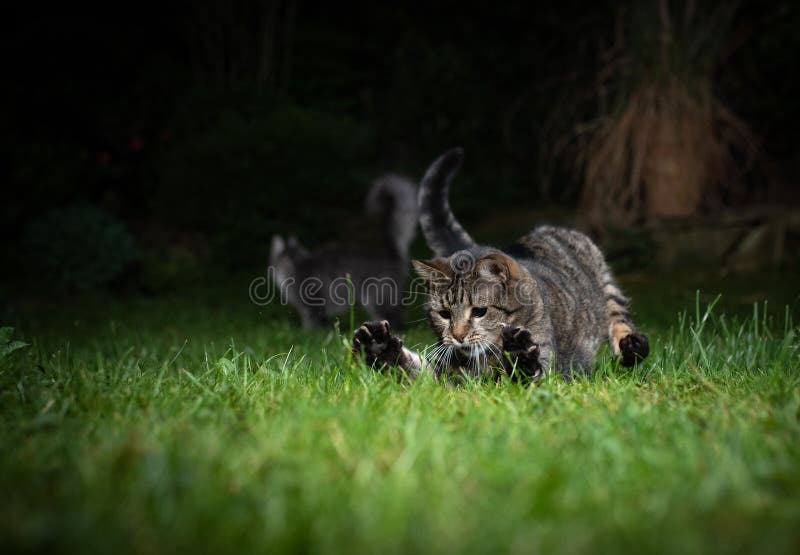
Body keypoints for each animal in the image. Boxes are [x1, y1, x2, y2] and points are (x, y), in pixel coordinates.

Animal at [270, 176, 418, 328]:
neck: (296, 263)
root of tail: (389, 254)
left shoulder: (313, 303)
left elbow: (314, 325)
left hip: (377, 295)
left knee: (396, 315)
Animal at [354, 148, 648, 380]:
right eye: (444, 314)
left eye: (479, 312)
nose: (458, 336)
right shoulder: (444, 373)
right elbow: (412, 368)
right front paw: (379, 346)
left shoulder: (548, 368)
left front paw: (519, 354)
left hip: (606, 283)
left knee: (619, 321)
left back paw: (631, 347)